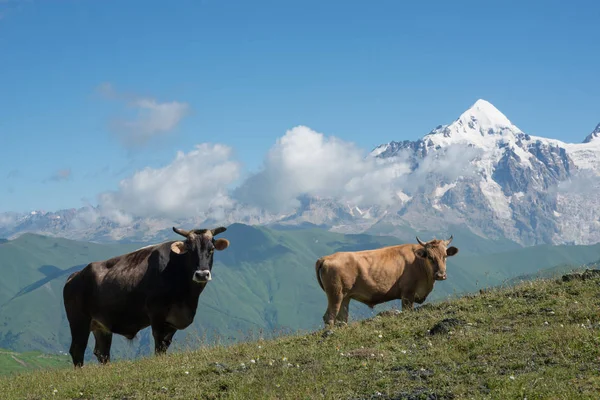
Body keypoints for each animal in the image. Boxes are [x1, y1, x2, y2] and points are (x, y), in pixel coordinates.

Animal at [62, 225, 229, 366]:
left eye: (211, 249)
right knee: (77, 349)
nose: (202, 274)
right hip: (79, 320)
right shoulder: (156, 312)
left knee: (102, 352)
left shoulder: (172, 320)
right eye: (190, 250)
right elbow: (159, 343)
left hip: (101, 325)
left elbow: (166, 343)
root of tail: (75, 275)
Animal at [314, 236, 460, 326]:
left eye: (445, 256)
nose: (441, 275)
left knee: (342, 318)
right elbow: (407, 310)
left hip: (345, 297)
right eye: (430, 256)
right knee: (329, 317)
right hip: (336, 295)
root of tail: (326, 258)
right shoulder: (407, 294)